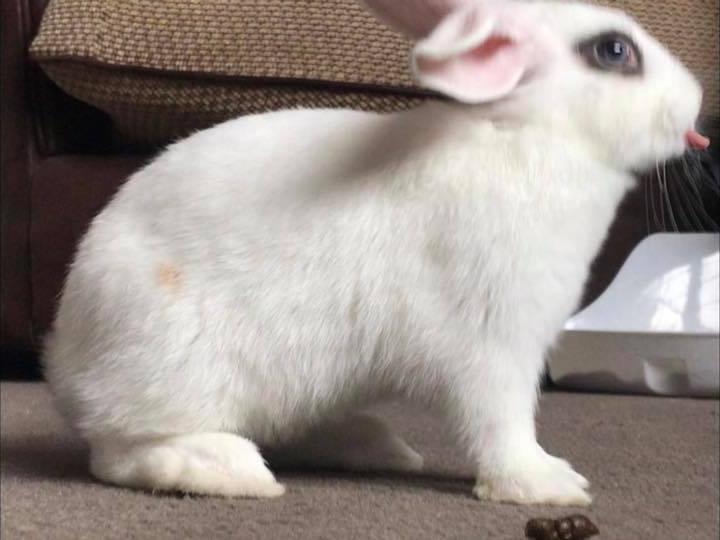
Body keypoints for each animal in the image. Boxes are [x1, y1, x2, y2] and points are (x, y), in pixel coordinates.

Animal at [43, 0, 709, 505]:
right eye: (614, 52)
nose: (698, 100)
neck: (529, 135)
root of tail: (65, 360)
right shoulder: (493, 345)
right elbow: (503, 422)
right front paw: (546, 485)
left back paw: (376, 445)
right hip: (177, 365)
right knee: (121, 452)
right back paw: (231, 471)